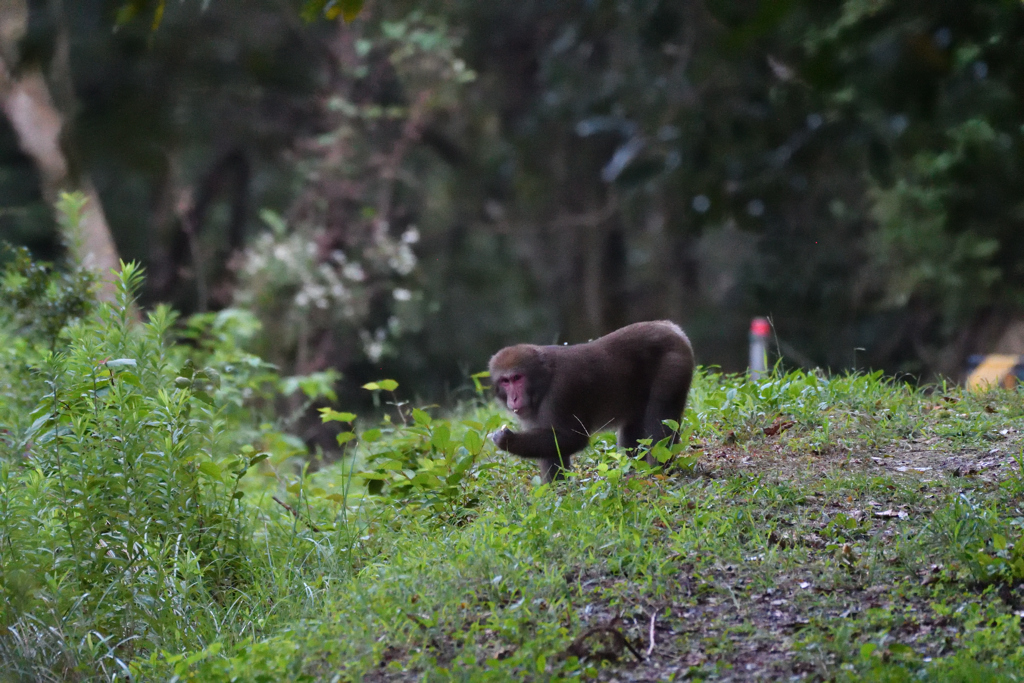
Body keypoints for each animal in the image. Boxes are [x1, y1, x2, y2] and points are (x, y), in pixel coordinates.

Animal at [487, 319, 696, 481]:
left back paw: (658, 471)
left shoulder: (562, 392)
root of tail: (670, 327)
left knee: (661, 417)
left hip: (673, 364)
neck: (544, 380)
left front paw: (507, 440)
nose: (513, 398)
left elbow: (572, 438)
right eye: (505, 381)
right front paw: (556, 491)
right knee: (633, 425)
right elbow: (553, 447)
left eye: (517, 378)